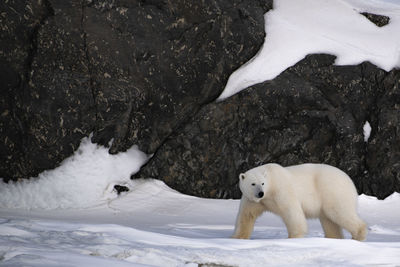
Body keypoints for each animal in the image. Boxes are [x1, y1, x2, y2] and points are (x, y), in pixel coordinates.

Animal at [233, 163, 368, 241]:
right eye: (253, 184)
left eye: (262, 183)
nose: (260, 193)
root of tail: (349, 180)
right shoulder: (252, 200)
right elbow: (246, 216)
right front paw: (237, 237)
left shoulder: (281, 190)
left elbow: (291, 211)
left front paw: (294, 237)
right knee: (329, 221)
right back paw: (333, 238)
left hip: (333, 191)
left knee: (339, 212)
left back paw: (358, 235)